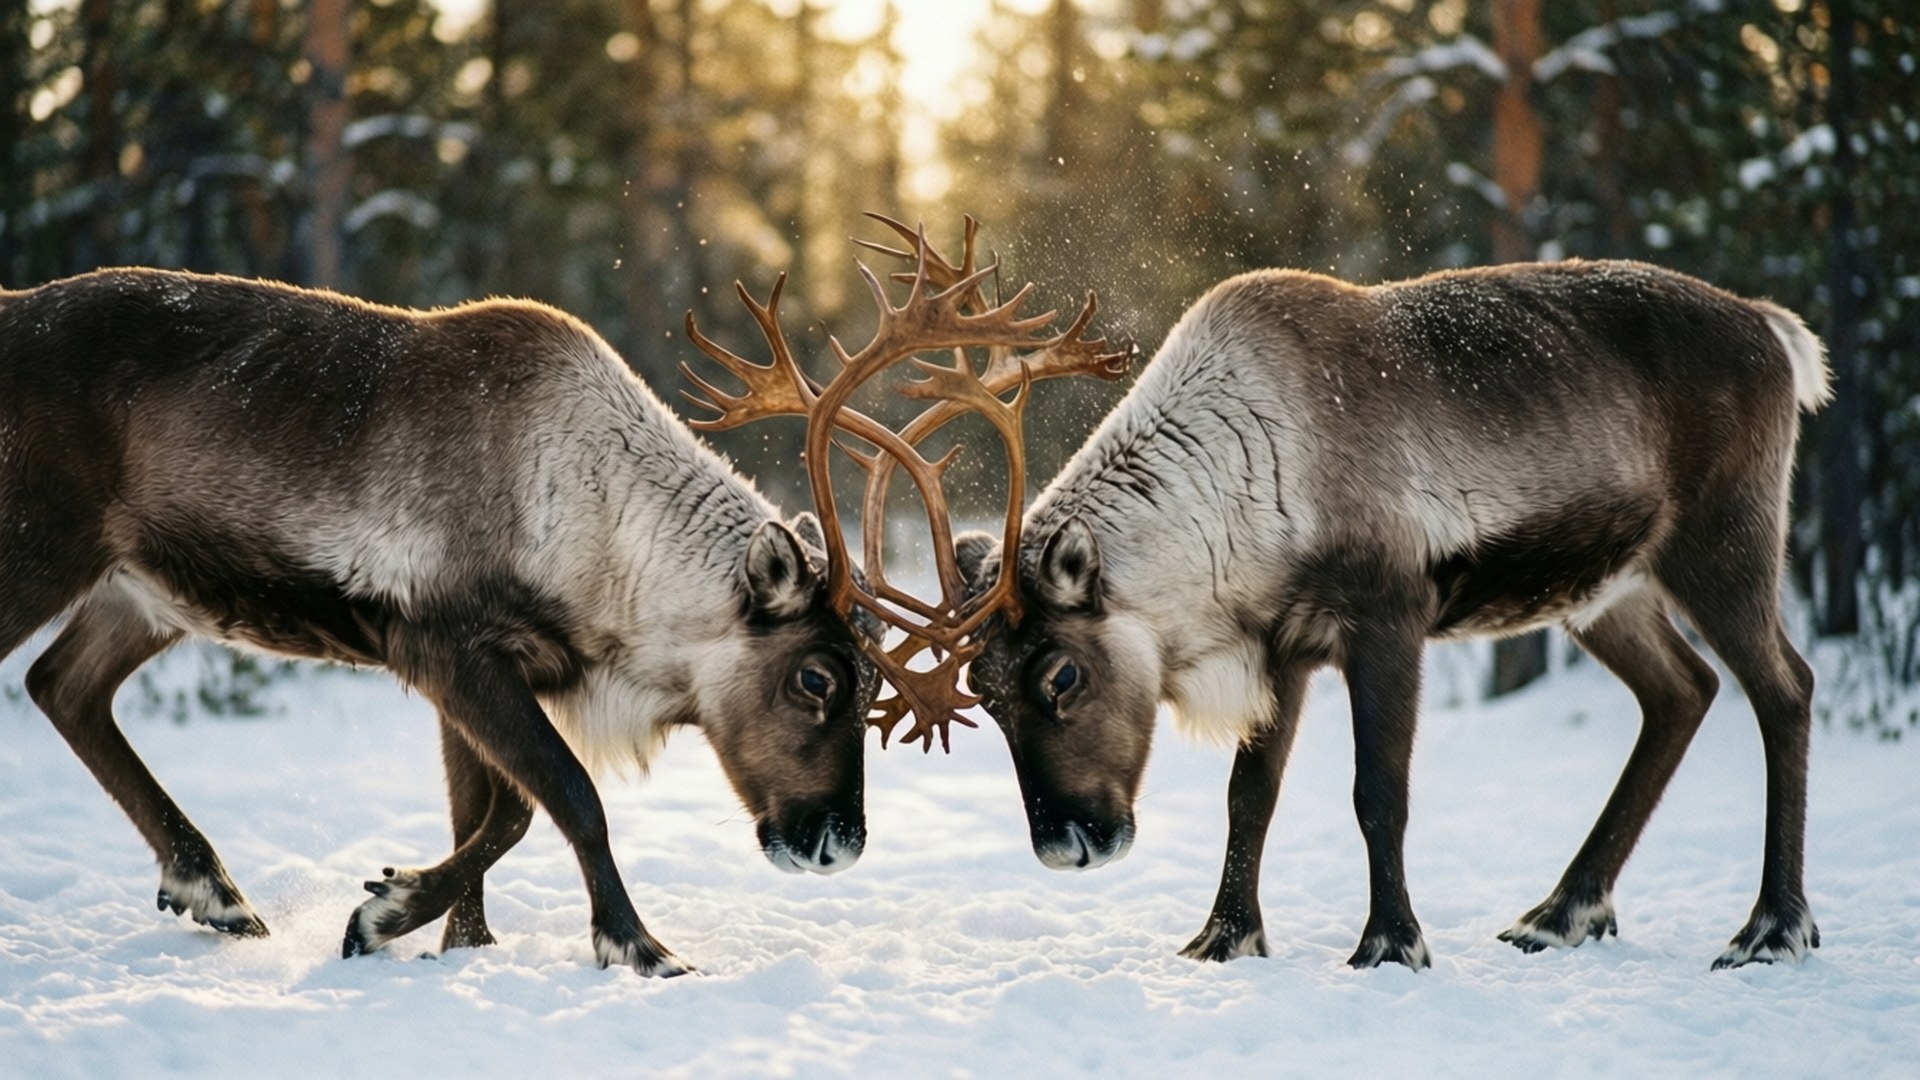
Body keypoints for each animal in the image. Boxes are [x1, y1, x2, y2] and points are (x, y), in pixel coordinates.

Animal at [0, 228, 1100, 975]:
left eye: (870, 689)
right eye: (816, 677)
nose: (835, 844)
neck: (600, 526)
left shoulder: (467, 668)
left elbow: (490, 811)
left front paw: (434, 931)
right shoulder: (447, 647)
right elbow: (562, 798)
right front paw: (637, 946)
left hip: (141, 590)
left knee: (63, 686)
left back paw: (214, 890)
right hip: (40, 549)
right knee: (55, 679)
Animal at [947, 258, 1832, 972]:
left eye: (1063, 675)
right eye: (981, 692)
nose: (1066, 846)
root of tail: (1772, 328)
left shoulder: (1388, 618)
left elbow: (1379, 792)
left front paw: (1391, 944)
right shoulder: (1283, 647)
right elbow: (1249, 794)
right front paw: (1225, 937)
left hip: (1723, 544)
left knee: (1786, 687)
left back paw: (1771, 930)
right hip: (1607, 591)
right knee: (1684, 690)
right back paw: (1561, 913)